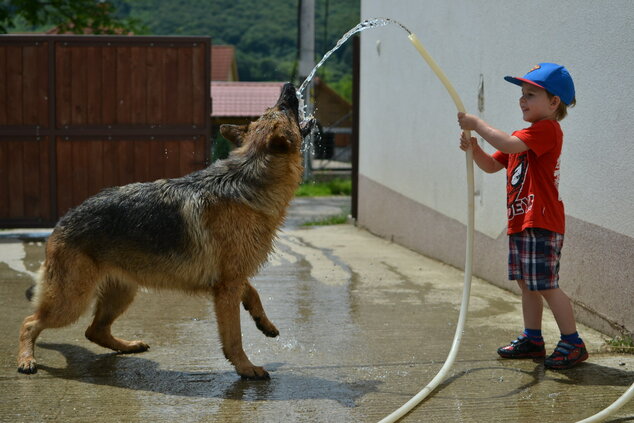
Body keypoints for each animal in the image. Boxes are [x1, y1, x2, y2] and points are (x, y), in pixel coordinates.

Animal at [19, 83, 314, 380]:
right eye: (282, 107)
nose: (288, 86)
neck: (249, 175)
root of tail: (62, 221)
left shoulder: (232, 279)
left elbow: (253, 292)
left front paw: (264, 322)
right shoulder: (227, 288)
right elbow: (233, 338)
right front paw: (245, 367)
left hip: (121, 294)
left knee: (94, 331)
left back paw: (128, 345)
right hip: (71, 301)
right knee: (30, 322)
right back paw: (26, 359)